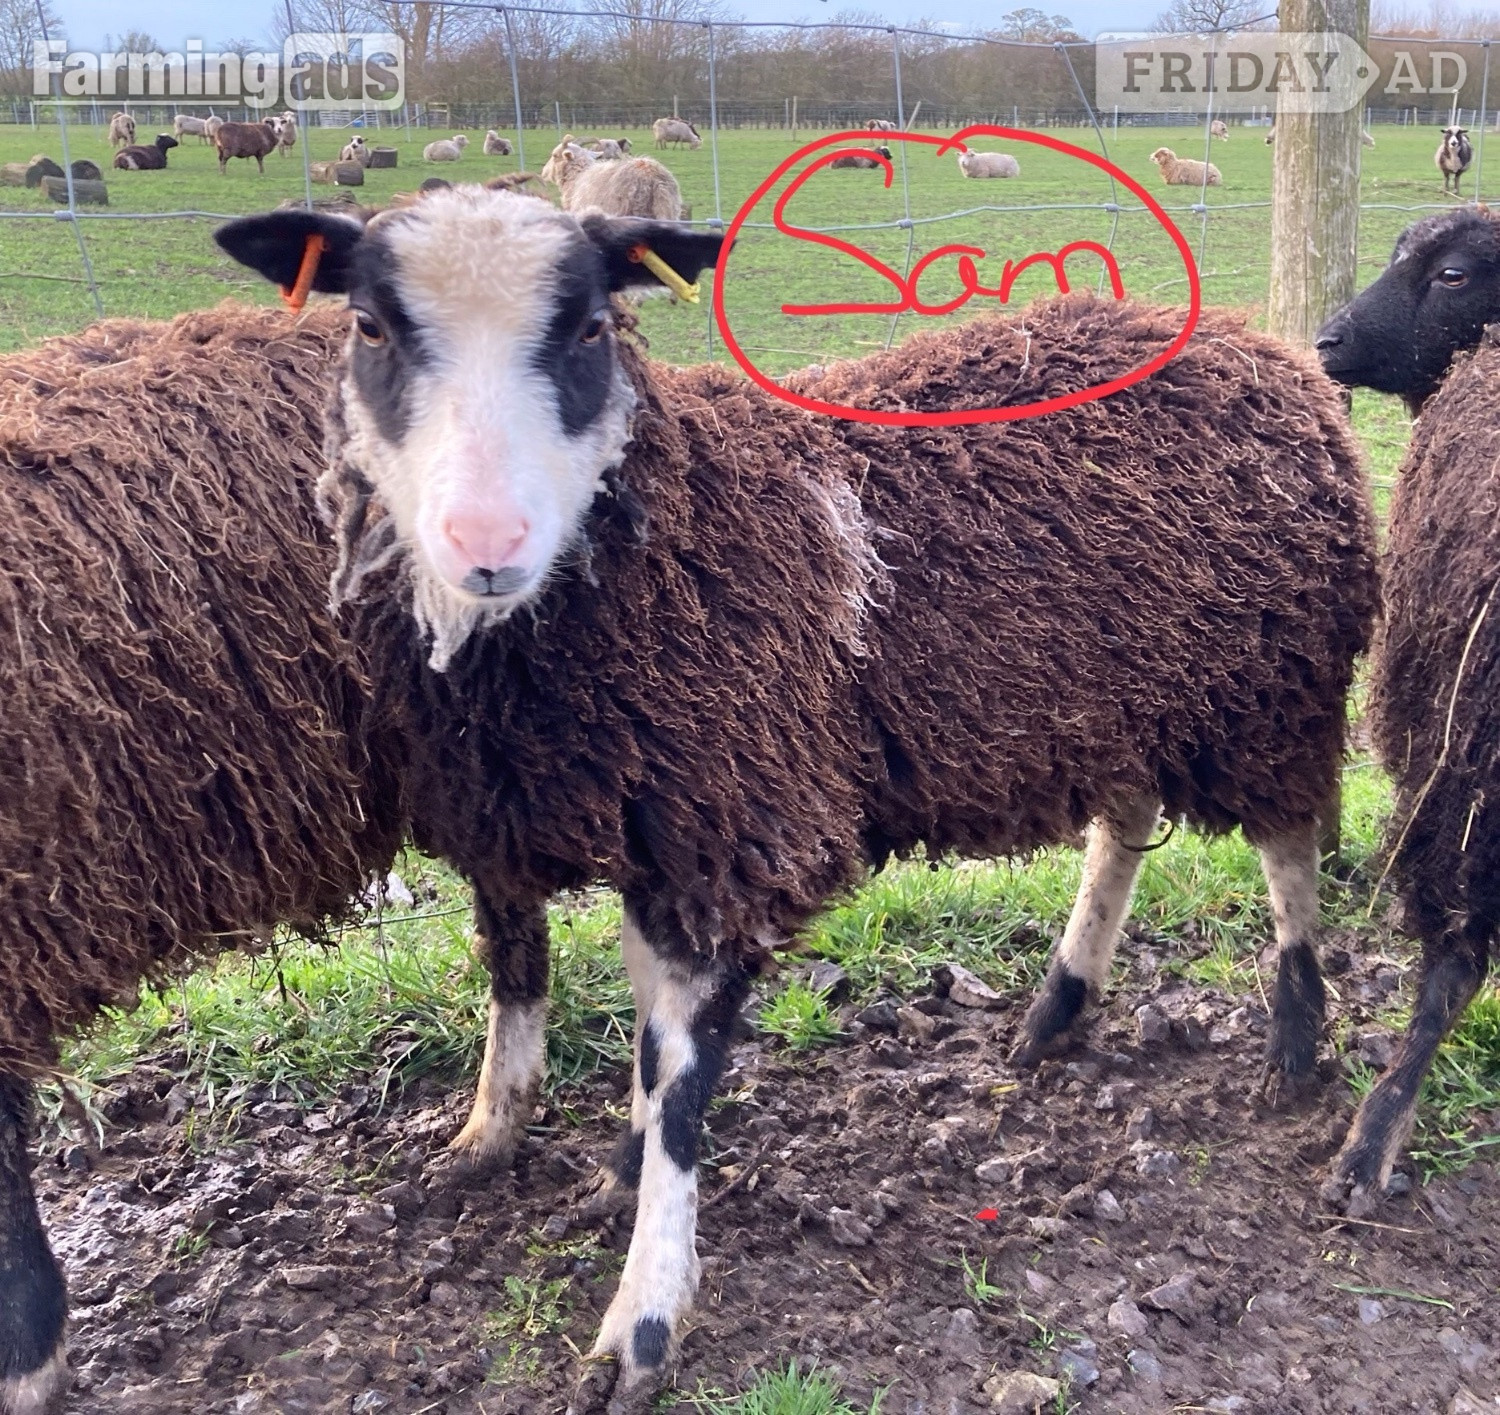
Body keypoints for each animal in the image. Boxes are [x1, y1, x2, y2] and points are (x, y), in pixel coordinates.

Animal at [218, 189, 1377, 1407]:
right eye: (369, 326)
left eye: (590, 326)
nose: (487, 543)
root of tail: (1260, 346)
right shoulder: (597, 818)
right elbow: (574, 1002)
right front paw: (547, 1150)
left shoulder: (734, 824)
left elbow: (681, 1083)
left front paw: (643, 1316)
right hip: (1118, 696)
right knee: (1126, 823)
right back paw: (1056, 1008)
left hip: (1264, 683)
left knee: (1286, 844)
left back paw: (1294, 1038)